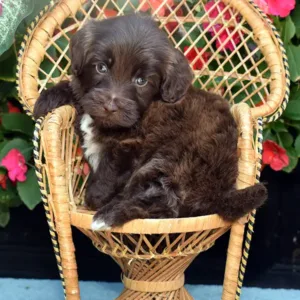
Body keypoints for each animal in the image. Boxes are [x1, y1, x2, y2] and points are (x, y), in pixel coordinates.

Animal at [34, 14, 266, 230]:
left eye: (141, 81)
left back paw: (106, 216)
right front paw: (47, 99)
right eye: (101, 67)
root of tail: (219, 194)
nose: (109, 107)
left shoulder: (130, 148)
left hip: (172, 159)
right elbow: (77, 91)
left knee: (165, 205)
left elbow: (109, 173)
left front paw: (95, 197)